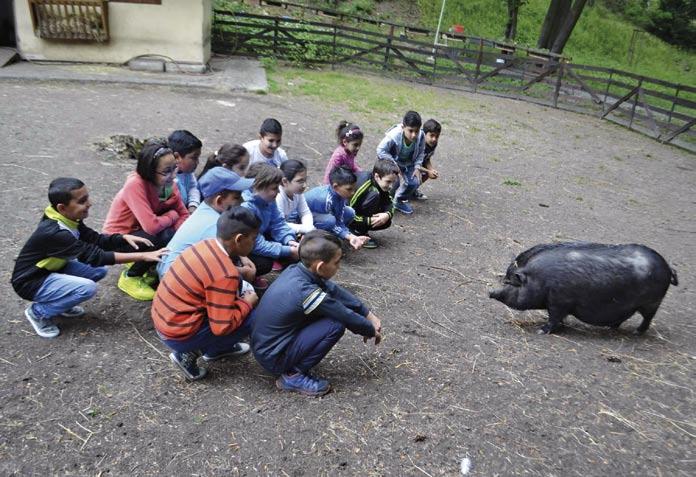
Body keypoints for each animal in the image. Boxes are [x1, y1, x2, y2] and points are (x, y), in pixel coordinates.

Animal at [486, 244, 676, 332]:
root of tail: (668, 268)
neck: (540, 279)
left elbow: (554, 318)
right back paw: (611, 328)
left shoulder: (559, 302)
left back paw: (637, 332)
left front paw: (541, 330)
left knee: (647, 319)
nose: (490, 292)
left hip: (651, 303)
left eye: (510, 283)